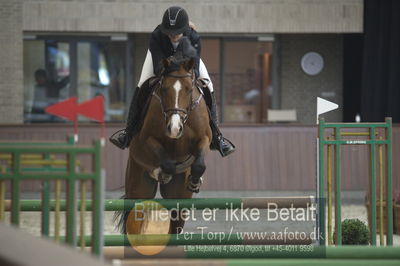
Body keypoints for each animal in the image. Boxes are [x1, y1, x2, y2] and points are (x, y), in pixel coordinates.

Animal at [117, 55, 212, 235]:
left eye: (189, 90)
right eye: (164, 89)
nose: (174, 128)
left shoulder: (204, 139)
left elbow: (200, 163)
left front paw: (195, 181)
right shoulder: (147, 139)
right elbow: (165, 161)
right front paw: (163, 173)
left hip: (178, 197)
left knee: (175, 225)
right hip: (138, 187)